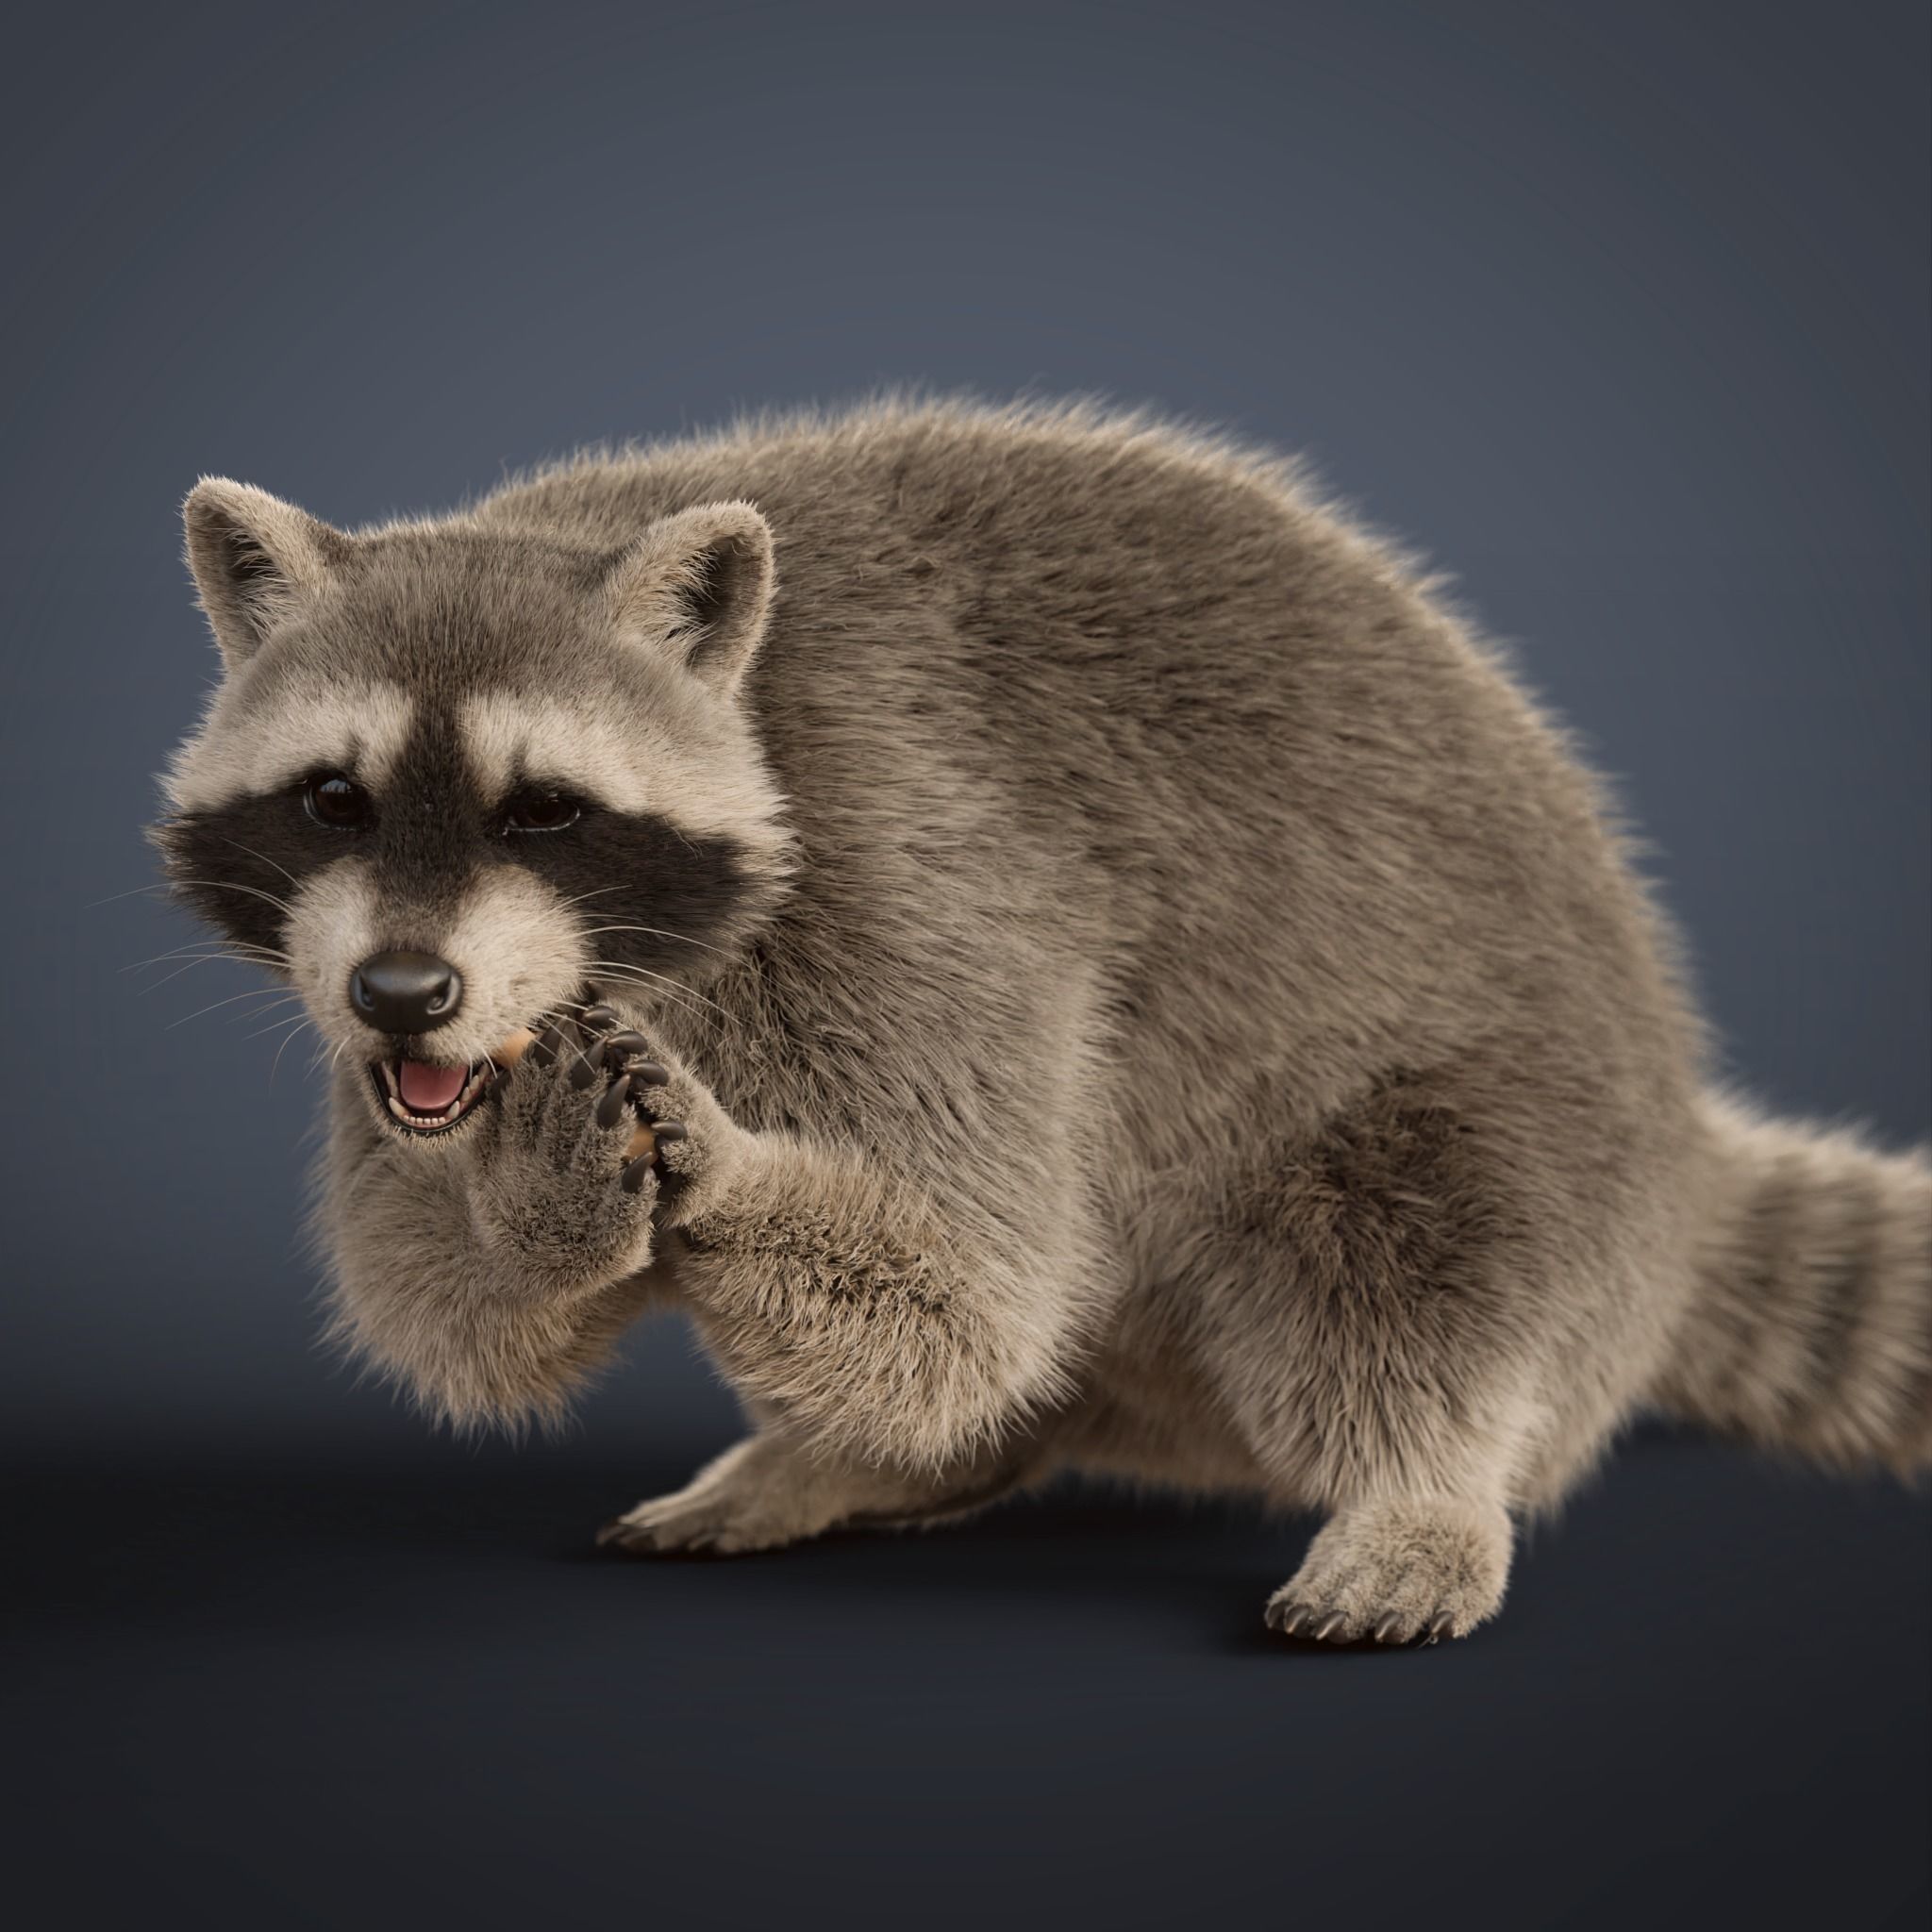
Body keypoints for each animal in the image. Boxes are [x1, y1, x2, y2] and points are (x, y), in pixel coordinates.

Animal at [154, 398, 1932, 1643]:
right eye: (332, 799)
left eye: (546, 811)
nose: (407, 992)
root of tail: (1677, 1137)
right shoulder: (393, 1036)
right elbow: (435, 1303)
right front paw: (528, 1210)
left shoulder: (924, 867)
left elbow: (976, 1285)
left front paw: (730, 1173)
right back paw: (862, 1455)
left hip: (1515, 1102)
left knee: (1417, 1238)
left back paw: (1420, 1494)